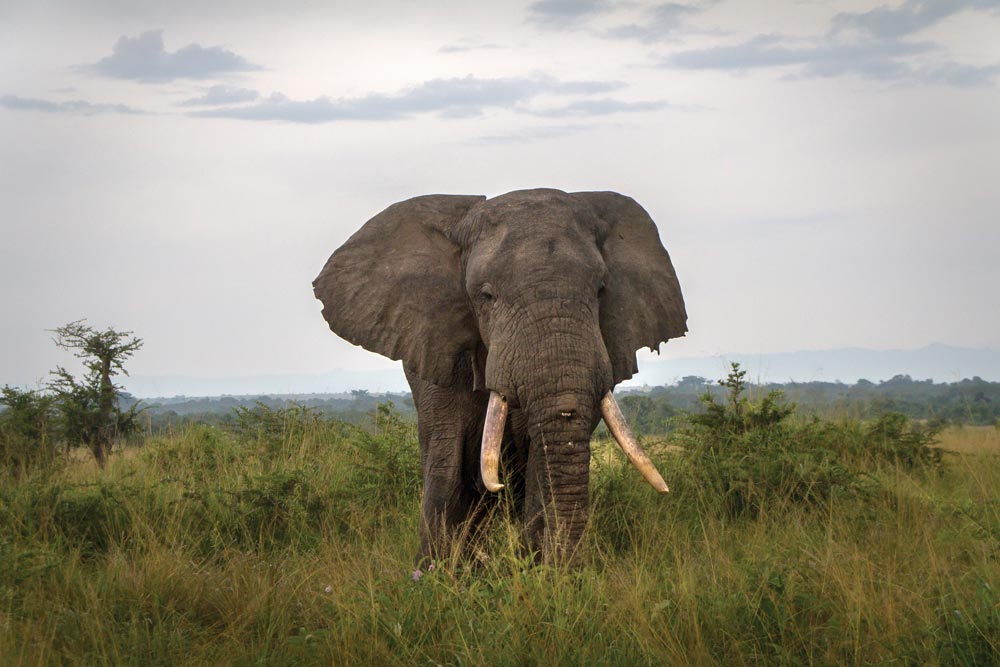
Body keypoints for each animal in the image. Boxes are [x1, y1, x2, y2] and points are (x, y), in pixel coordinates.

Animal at [314, 188, 688, 568]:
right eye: (486, 296)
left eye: (600, 290)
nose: (565, 569)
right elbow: (448, 451)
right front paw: (435, 572)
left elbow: (541, 454)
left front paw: (540, 570)